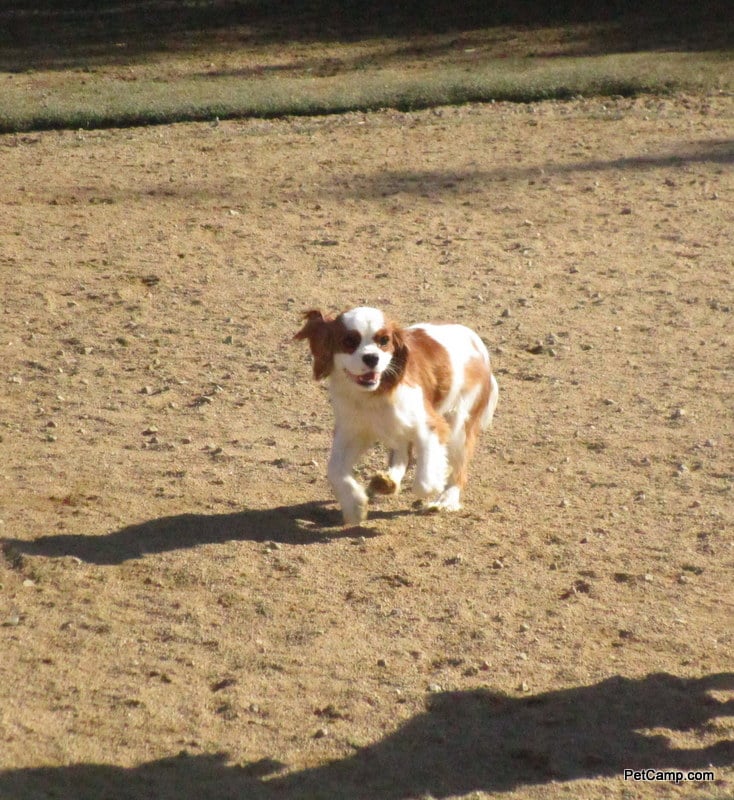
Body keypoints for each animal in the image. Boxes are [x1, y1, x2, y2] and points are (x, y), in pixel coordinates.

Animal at [294, 306, 500, 524]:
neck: (376, 392)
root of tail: (480, 347)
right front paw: (354, 505)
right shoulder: (353, 431)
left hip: (459, 425)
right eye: (349, 341)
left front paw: (435, 482)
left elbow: (424, 482)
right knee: (402, 453)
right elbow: (334, 470)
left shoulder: (431, 426)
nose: (372, 358)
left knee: (458, 470)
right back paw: (387, 480)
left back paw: (445, 499)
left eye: (384, 340)